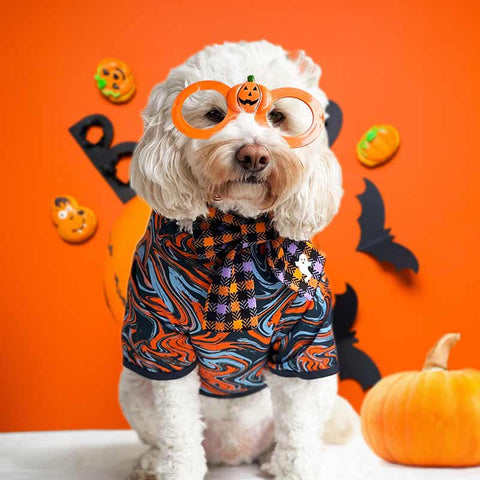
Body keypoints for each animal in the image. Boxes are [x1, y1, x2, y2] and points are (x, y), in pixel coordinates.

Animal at [118, 39, 358, 478]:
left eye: (278, 117)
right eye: (214, 115)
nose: (254, 155)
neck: (237, 233)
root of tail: (233, 454)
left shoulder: (304, 346)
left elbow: (298, 432)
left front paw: (297, 469)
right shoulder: (162, 344)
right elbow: (178, 433)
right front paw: (176, 470)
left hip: (324, 385)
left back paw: (271, 459)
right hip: (133, 383)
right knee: (164, 438)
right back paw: (151, 463)